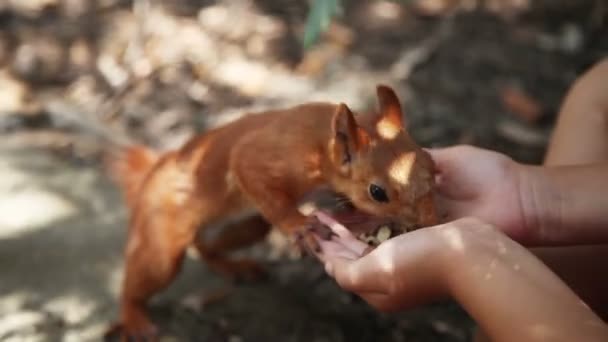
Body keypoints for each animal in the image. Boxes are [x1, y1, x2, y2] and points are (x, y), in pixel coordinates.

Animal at [105, 85, 436, 340]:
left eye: (432, 165)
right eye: (377, 192)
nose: (429, 220)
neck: (319, 141)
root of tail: (154, 171)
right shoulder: (264, 156)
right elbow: (248, 167)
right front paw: (300, 226)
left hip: (244, 225)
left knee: (206, 248)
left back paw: (236, 267)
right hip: (161, 235)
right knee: (149, 272)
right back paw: (133, 316)